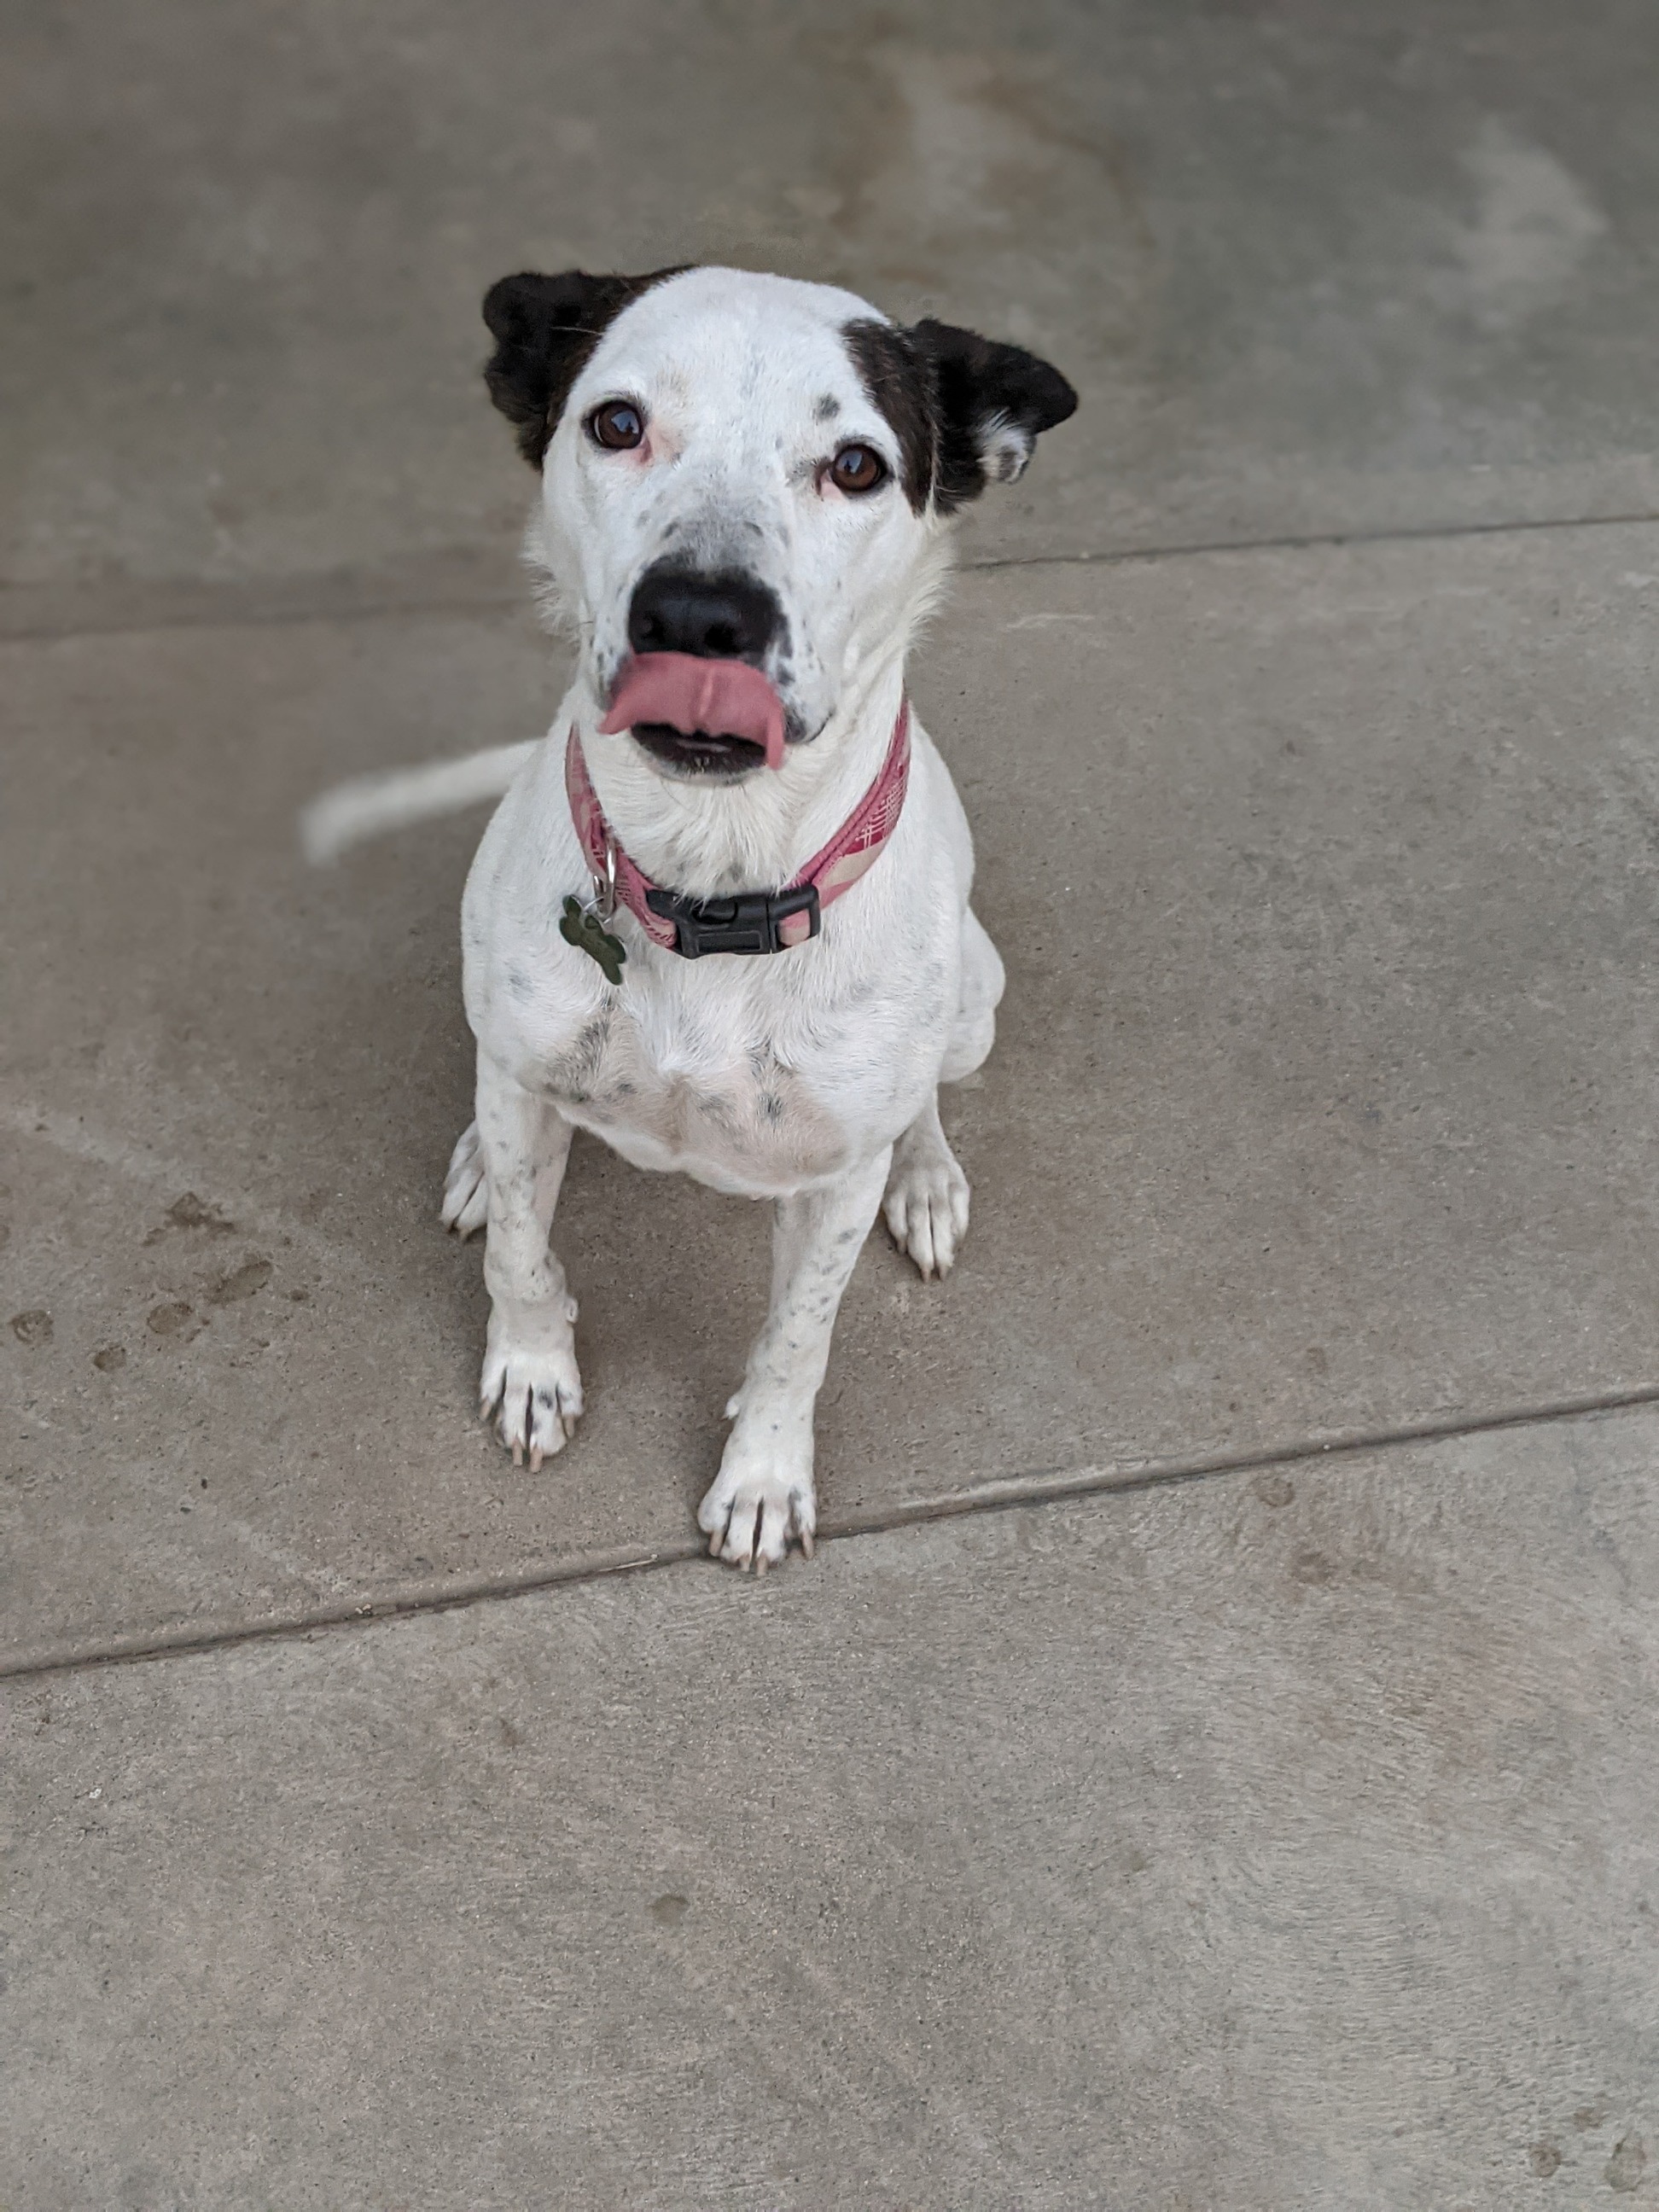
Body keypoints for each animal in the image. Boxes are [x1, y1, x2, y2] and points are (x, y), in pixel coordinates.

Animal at [303, 263, 1079, 1575]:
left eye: (857, 464)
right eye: (617, 423)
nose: (701, 617)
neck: (711, 883)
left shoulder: (832, 1185)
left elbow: (798, 1339)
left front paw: (763, 1476)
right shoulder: (525, 1068)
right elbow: (522, 1248)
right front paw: (533, 1368)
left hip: (977, 994)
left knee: (927, 1096)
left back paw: (926, 1177)